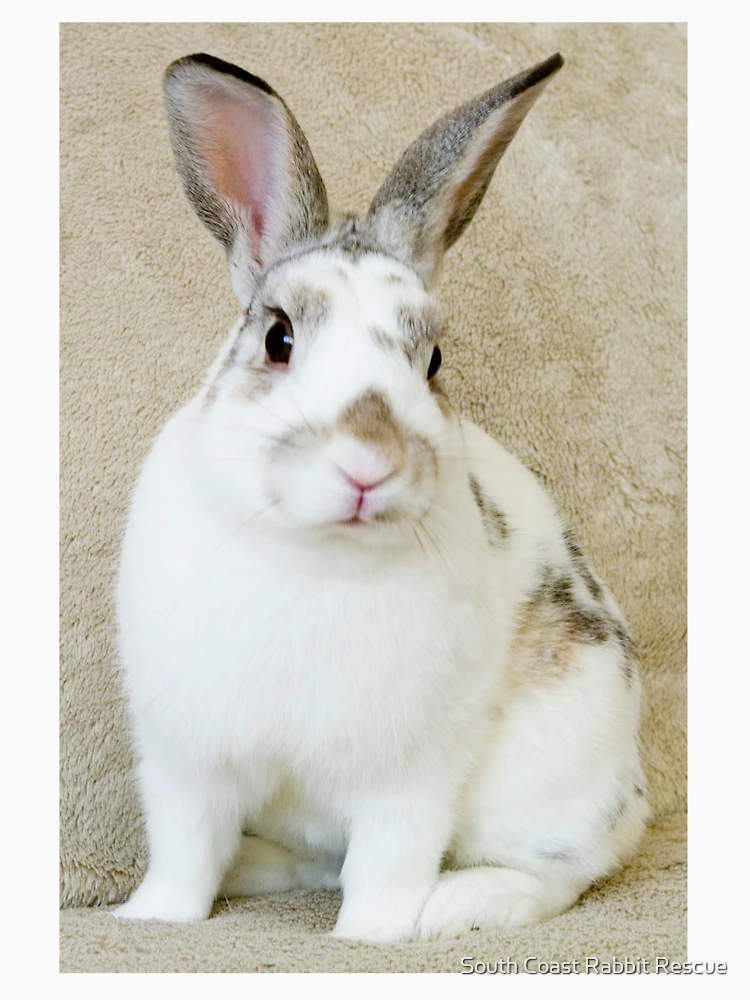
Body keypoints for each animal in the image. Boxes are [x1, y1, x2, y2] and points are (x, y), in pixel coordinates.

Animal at [114, 51, 649, 943]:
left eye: (432, 360)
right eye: (278, 338)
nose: (369, 463)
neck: (317, 552)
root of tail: (637, 800)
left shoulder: (409, 778)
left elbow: (384, 867)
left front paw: (370, 937)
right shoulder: (188, 761)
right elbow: (184, 854)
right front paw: (152, 919)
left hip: (550, 786)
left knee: (557, 876)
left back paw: (459, 906)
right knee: (310, 861)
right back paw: (250, 869)